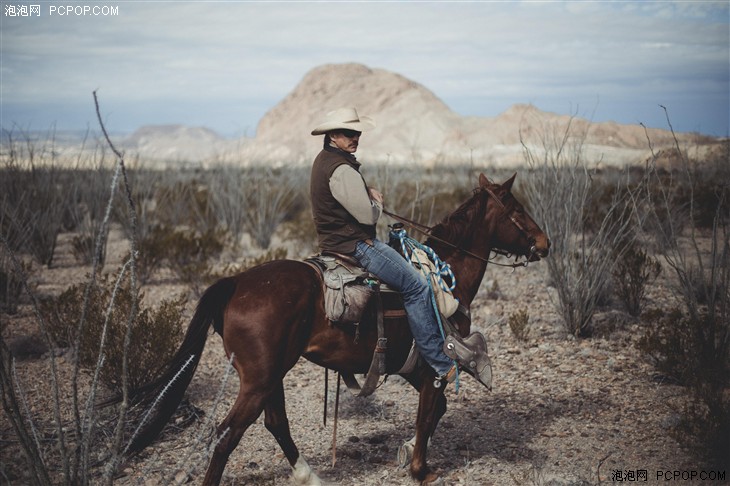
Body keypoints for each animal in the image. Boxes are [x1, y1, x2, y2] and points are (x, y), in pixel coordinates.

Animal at [126, 175, 544, 486]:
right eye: (517, 209)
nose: (544, 242)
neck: (443, 278)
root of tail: (236, 283)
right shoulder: (433, 365)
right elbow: (428, 413)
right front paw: (420, 469)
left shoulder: (413, 366)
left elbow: (435, 411)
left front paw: (408, 450)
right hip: (258, 380)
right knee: (228, 434)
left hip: (269, 375)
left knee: (275, 422)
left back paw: (308, 475)